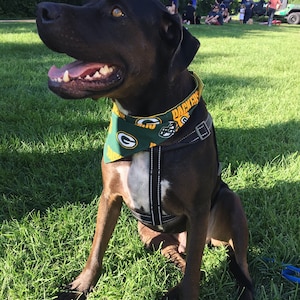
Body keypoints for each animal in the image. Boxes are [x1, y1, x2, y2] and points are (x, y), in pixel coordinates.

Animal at [37, 1, 253, 298]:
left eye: (117, 12)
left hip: (231, 204)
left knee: (237, 260)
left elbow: (193, 272)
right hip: (151, 235)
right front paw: (83, 284)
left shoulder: (197, 209)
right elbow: (97, 247)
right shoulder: (109, 197)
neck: (147, 128)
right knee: (179, 255)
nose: (42, 9)